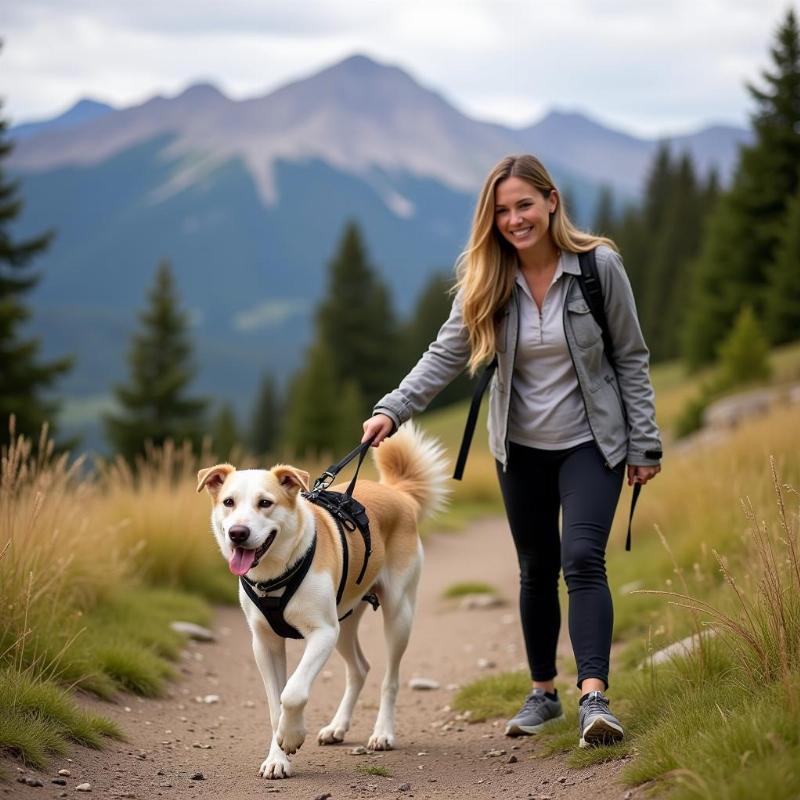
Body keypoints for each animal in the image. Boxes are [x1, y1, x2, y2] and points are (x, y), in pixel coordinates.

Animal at [197, 424, 450, 780]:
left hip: (397, 614)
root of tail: (396, 492)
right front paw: (277, 758)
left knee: (390, 678)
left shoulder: (322, 633)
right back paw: (337, 727)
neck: (275, 573)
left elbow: (293, 692)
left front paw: (292, 736)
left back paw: (383, 733)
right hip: (344, 621)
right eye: (228, 502)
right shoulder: (264, 642)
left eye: (265, 503)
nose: (237, 533)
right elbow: (275, 706)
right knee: (359, 669)